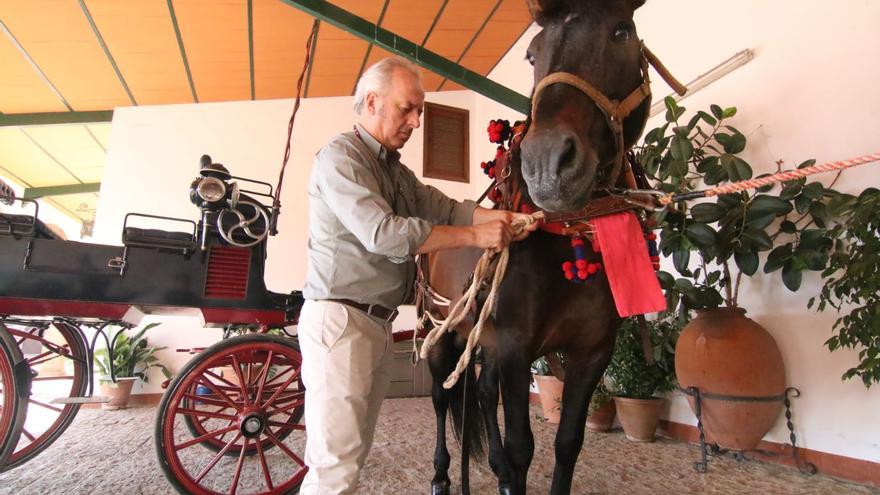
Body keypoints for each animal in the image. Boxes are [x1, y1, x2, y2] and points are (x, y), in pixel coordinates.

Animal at [422, 0, 664, 495]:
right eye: (532, 55)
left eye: (621, 32)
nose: (547, 165)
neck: (568, 234)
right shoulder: (516, 349)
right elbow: (522, 448)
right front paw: (506, 469)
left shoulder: (592, 351)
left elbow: (568, 442)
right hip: (443, 334)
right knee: (441, 397)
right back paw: (441, 474)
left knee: (480, 392)